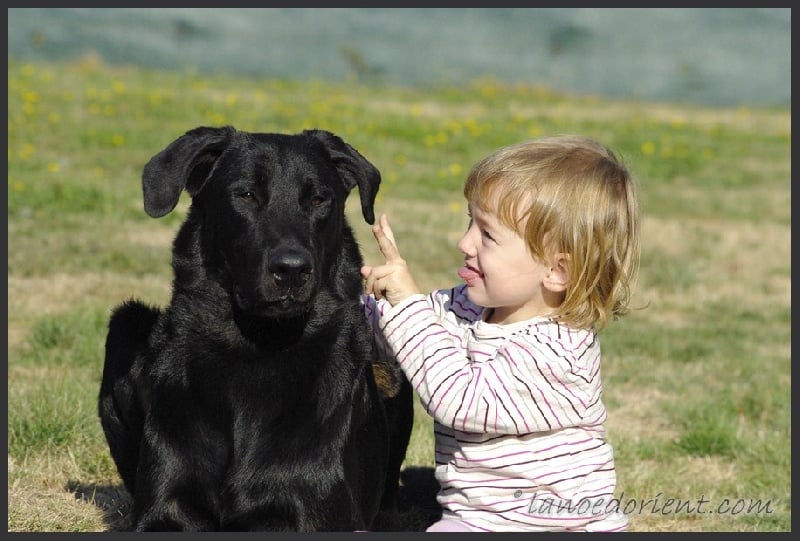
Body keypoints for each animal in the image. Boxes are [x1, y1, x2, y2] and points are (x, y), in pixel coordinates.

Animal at [95, 124, 412, 528]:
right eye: (246, 195)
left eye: (318, 199)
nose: (291, 269)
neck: (257, 344)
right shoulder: (163, 506)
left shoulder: (325, 508)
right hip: (125, 325)